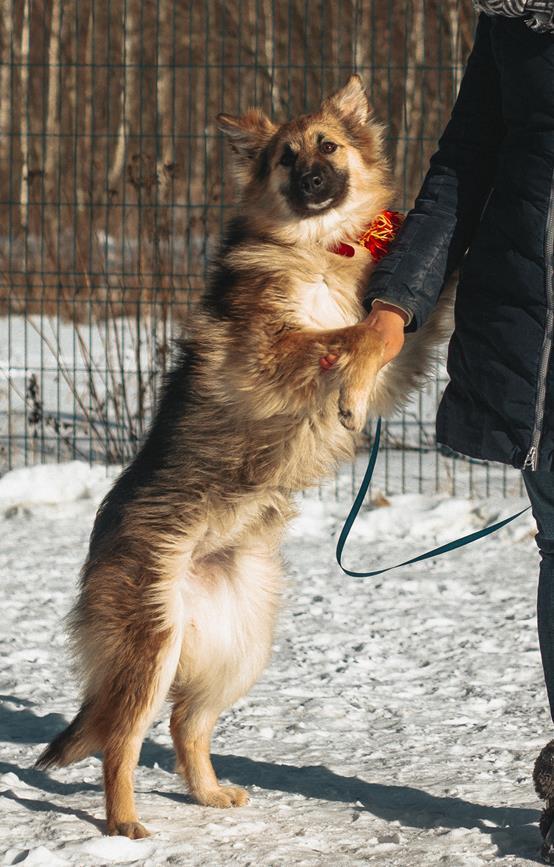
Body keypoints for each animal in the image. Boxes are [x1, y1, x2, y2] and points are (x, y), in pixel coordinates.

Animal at [35, 76, 448, 840]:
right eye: (286, 159)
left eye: (328, 147)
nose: (313, 181)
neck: (317, 246)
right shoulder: (270, 353)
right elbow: (356, 333)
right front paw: (349, 382)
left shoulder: (400, 366)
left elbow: (409, 320)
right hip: (151, 643)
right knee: (121, 740)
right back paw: (125, 824)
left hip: (243, 643)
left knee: (184, 725)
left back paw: (206, 794)